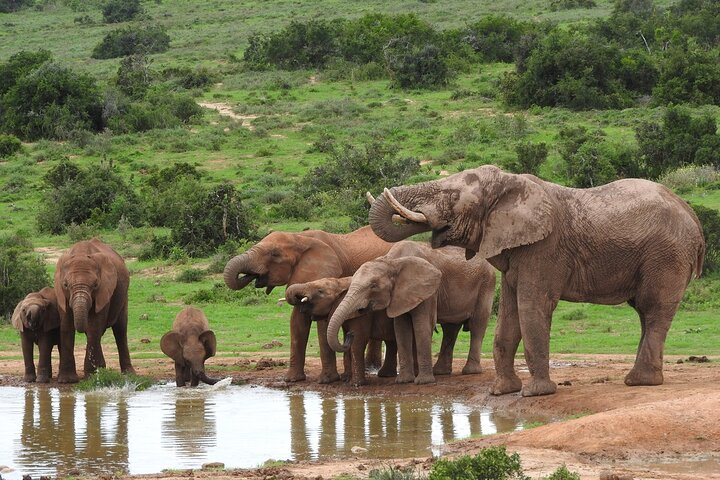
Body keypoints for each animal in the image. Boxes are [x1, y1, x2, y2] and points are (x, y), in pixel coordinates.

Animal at [54, 238, 135, 383]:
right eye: (66, 285)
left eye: (95, 285)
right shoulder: (61, 294)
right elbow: (66, 326)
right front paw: (67, 380)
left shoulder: (105, 291)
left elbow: (94, 326)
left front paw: (91, 377)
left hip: (123, 295)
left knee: (120, 329)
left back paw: (128, 374)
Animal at [223, 226, 394, 383]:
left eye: (274, 254)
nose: (250, 276)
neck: (299, 238)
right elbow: (296, 322)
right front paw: (292, 380)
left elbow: (323, 323)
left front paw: (327, 380)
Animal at [328, 241, 496, 385]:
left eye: (373, 286)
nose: (350, 334)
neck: (392, 261)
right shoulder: (400, 295)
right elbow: (401, 328)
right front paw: (403, 381)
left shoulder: (428, 290)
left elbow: (422, 324)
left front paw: (423, 382)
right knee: (450, 328)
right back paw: (441, 372)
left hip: (486, 284)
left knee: (477, 326)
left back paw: (470, 371)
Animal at [369, 164, 705, 396]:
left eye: (451, 196)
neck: (509, 184)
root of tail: (692, 214)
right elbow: (508, 316)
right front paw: (502, 391)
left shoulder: (544, 248)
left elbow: (531, 307)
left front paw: (535, 393)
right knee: (645, 314)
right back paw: (640, 379)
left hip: (667, 255)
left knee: (654, 308)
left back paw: (639, 382)